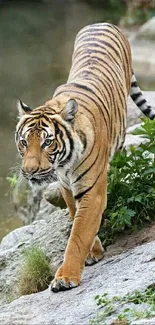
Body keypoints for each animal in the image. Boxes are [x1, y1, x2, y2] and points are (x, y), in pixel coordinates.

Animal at [14, 22, 155, 292]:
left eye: (47, 142)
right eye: (24, 142)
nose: (29, 172)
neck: (64, 163)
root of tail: (102, 23)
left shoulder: (92, 189)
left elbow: (78, 234)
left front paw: (65, 277)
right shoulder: (67, 187)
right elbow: (76, 218)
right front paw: (94, 251)